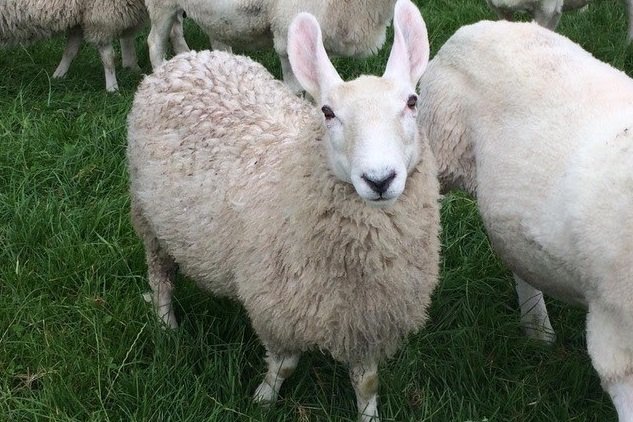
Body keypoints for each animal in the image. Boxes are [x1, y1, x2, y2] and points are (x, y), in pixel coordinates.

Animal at [0, 0, 188, 91]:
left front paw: (58, 76)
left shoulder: (80, 18)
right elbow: (108, 58)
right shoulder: (100, 17)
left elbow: (70, 51)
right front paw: (112, 88)